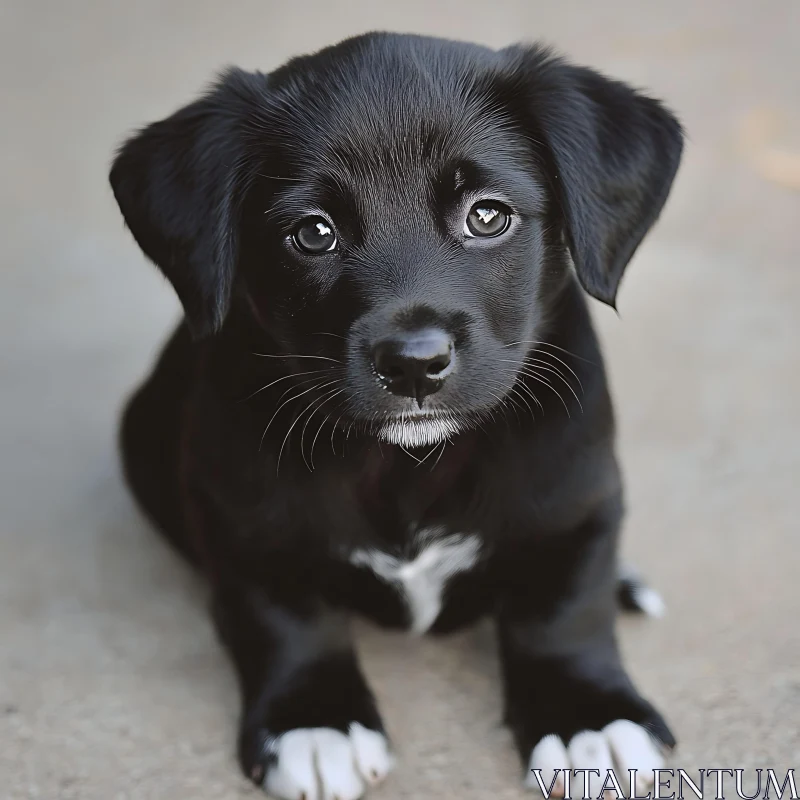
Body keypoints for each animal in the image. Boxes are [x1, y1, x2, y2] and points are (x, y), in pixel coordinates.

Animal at [111, 32, 680, 800]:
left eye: (488, 215)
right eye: (312, 233)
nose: (413, 363)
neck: (407, 462)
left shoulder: (576, 499)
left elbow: (565, 609)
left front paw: (585, 715)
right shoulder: (245, 522)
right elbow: (286, 618)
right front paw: (313, 720)